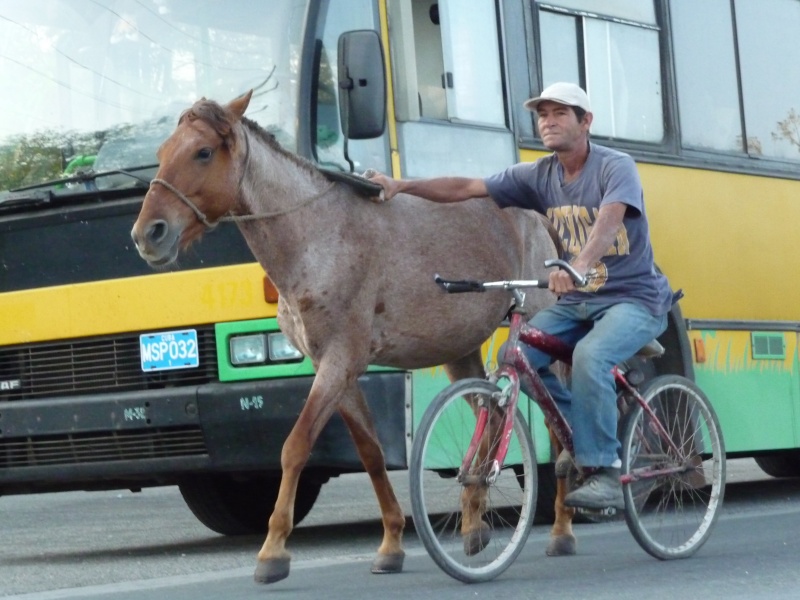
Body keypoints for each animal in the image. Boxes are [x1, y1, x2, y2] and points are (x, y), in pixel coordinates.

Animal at [131, 91, 580, 584]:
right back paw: (473, 521)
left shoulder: (340, 359)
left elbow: (295, 446)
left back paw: (561, 527)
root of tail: (537, 216)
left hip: (538, 336)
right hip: (460, 350)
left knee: (558, 428)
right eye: (161, 153)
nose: (148, 234)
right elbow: (369, 452)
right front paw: (391, 542)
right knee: (494, 416)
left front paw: (273, 550)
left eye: (203, 152)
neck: (318, 235)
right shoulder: (331, 365)